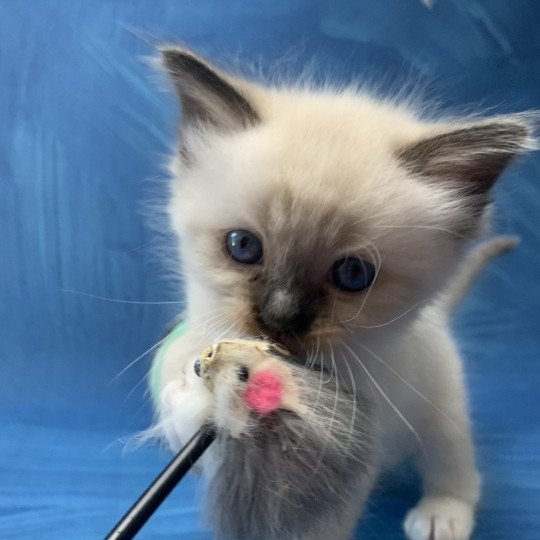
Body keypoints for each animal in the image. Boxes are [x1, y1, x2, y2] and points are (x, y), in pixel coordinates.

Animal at [149, 47, 536, 540]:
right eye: (243, 246)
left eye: (353, 274)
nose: (279, 318)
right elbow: (186, 422)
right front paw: (190, 393)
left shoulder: (346, 453)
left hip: (442, 408)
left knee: (454, 466)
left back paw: (441, 516)